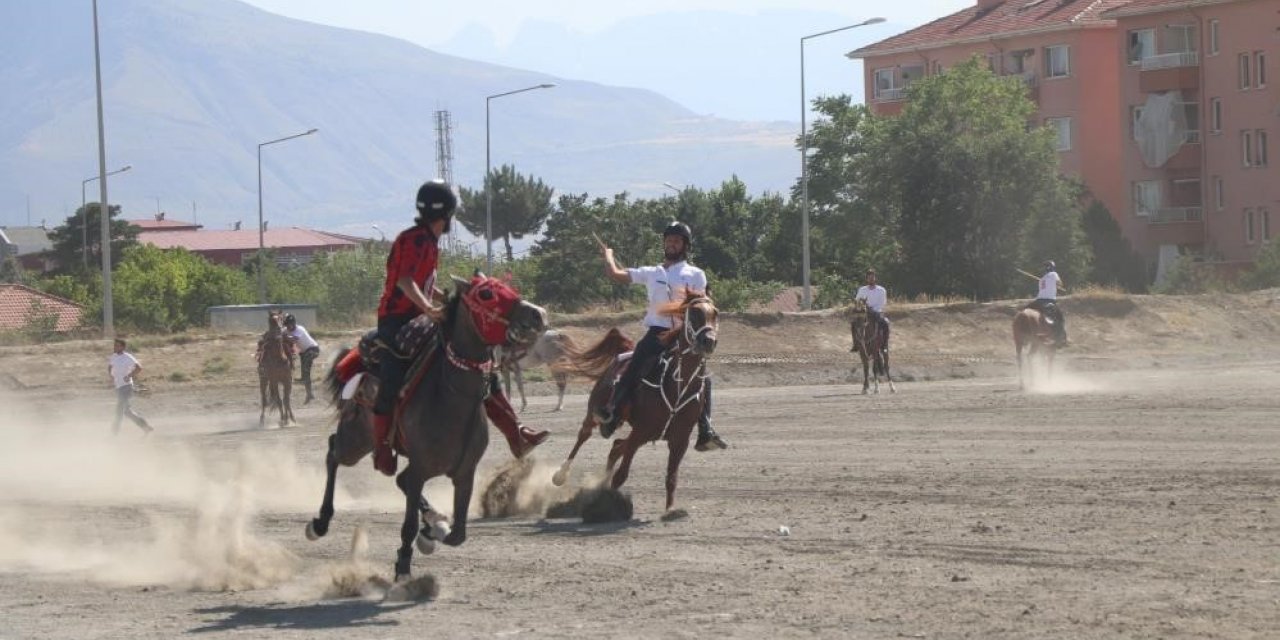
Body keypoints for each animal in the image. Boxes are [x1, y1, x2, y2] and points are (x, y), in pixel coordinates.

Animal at [304, 275, 545, 581]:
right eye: (486, 294)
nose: (538, 314)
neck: (451, 397)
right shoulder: (420, 468)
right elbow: (408, 524)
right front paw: (404, 565)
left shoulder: (465, 473)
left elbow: (458, 534)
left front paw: (432, 531)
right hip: (355, 441)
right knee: (333, 452)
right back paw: (320, 522)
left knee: (397, 478)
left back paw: (432, 522)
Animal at [545, 293, 716, 512]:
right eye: (694, 313)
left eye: (715, 313)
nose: (708, 341)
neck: (676, 384)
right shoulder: (640, 433)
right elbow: (621, 475)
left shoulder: (679, 440)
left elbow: (671, 478)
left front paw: (670, 511)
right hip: (595, 412)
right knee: (584, 435)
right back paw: (561, 474)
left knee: (616, 446)